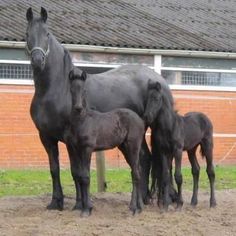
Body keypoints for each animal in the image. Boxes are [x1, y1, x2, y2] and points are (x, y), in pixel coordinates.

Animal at [68, 67, 146, 217]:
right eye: (71, 89)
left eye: (84, 90)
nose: (78, 108)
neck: (83, 121)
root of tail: (140, 120)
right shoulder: (77, 149)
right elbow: (80, 176)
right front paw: (86, 207)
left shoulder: (87, 149)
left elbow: (86, 177)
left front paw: (87, 210)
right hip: (124, 148)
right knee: (137, 170)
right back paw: (138, 206)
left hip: (133, 146)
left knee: (136, 173)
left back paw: (135, 208)